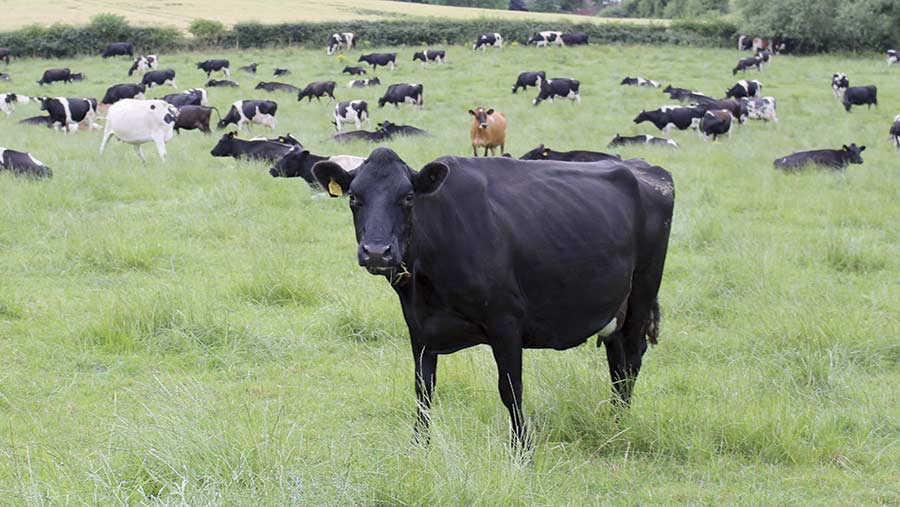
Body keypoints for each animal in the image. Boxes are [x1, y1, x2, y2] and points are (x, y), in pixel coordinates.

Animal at [312, 147, 672, 444]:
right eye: (354, 198)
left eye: (409, 197)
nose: (376, 251)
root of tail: (641, 167)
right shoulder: (419, 328)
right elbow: (423, 388)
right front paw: (419, 447)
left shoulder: (506, 321)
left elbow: (510, 389)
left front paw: (521, 451)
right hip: (615, 306)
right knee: (616, 361)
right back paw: (614, 423)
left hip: (642, 292)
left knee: (631, 359)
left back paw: (620, 427)